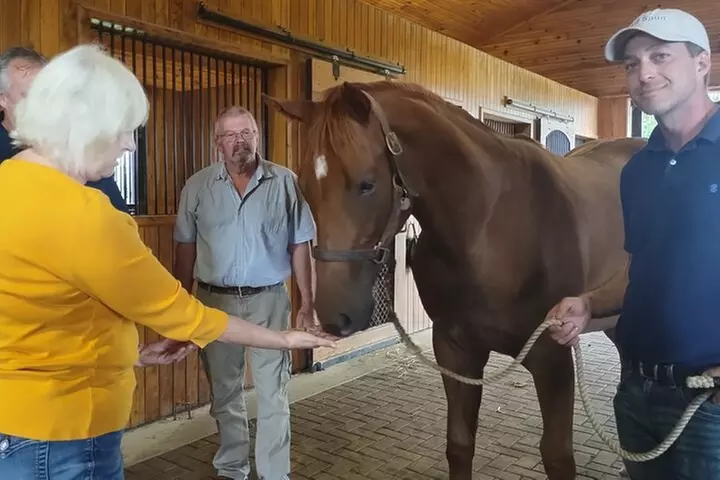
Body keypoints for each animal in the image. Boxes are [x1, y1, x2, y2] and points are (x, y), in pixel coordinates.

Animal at [263, 80, 646, 479]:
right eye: (305, 188)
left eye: (367, 185)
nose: (335, 317)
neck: (491, 228)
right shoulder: (455, 351)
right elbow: (460, 444)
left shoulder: (552, 357)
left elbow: (557, 456)